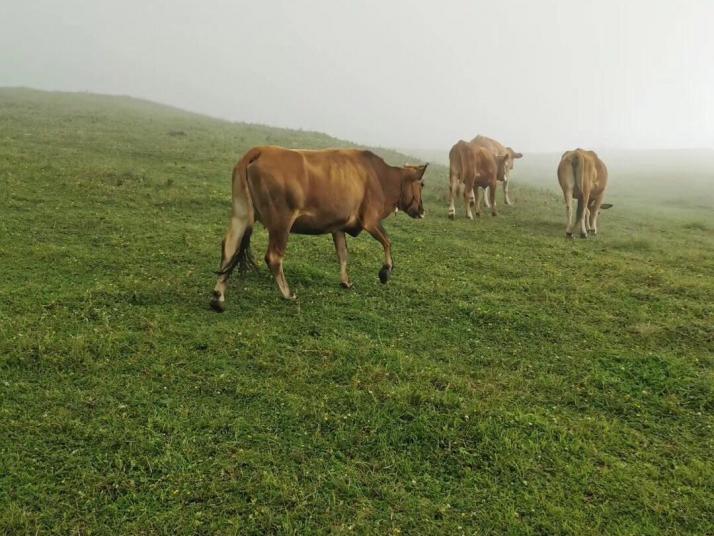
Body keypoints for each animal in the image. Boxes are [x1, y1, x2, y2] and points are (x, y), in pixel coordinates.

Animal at [209, 146, 426, 310]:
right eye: (422, 185)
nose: (422, 211)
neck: (382, 177)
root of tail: (260, 150)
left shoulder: (338, 226)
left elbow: (343, 254)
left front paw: (345, 281)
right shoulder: (370, 220)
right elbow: (387, 241)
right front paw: (385, 271)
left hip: (241, 214)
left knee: (229, 248)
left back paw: (218, 296)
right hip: (281, 222)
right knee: (273, 257)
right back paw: (287, 293)